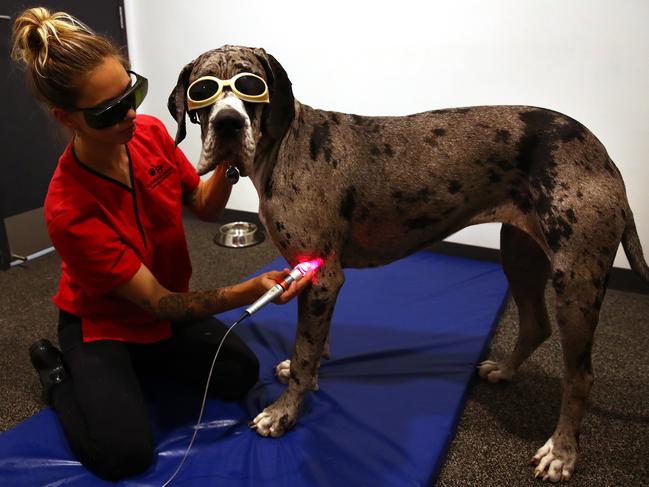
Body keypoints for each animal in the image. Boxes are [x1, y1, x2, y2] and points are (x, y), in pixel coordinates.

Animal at [168, 46, 648, 484]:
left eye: (251, 84)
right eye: (203, 90)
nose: (227, 123)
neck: (281, 145)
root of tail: (602, 152)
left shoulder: (322, 277)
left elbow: (305, 354)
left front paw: (284, 411)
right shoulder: (319, 280)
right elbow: (313, 343)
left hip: (577, 281)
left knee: (581, 375)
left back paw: (563, 452)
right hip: (519, 255)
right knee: (535, 324)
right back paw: (505, 370)